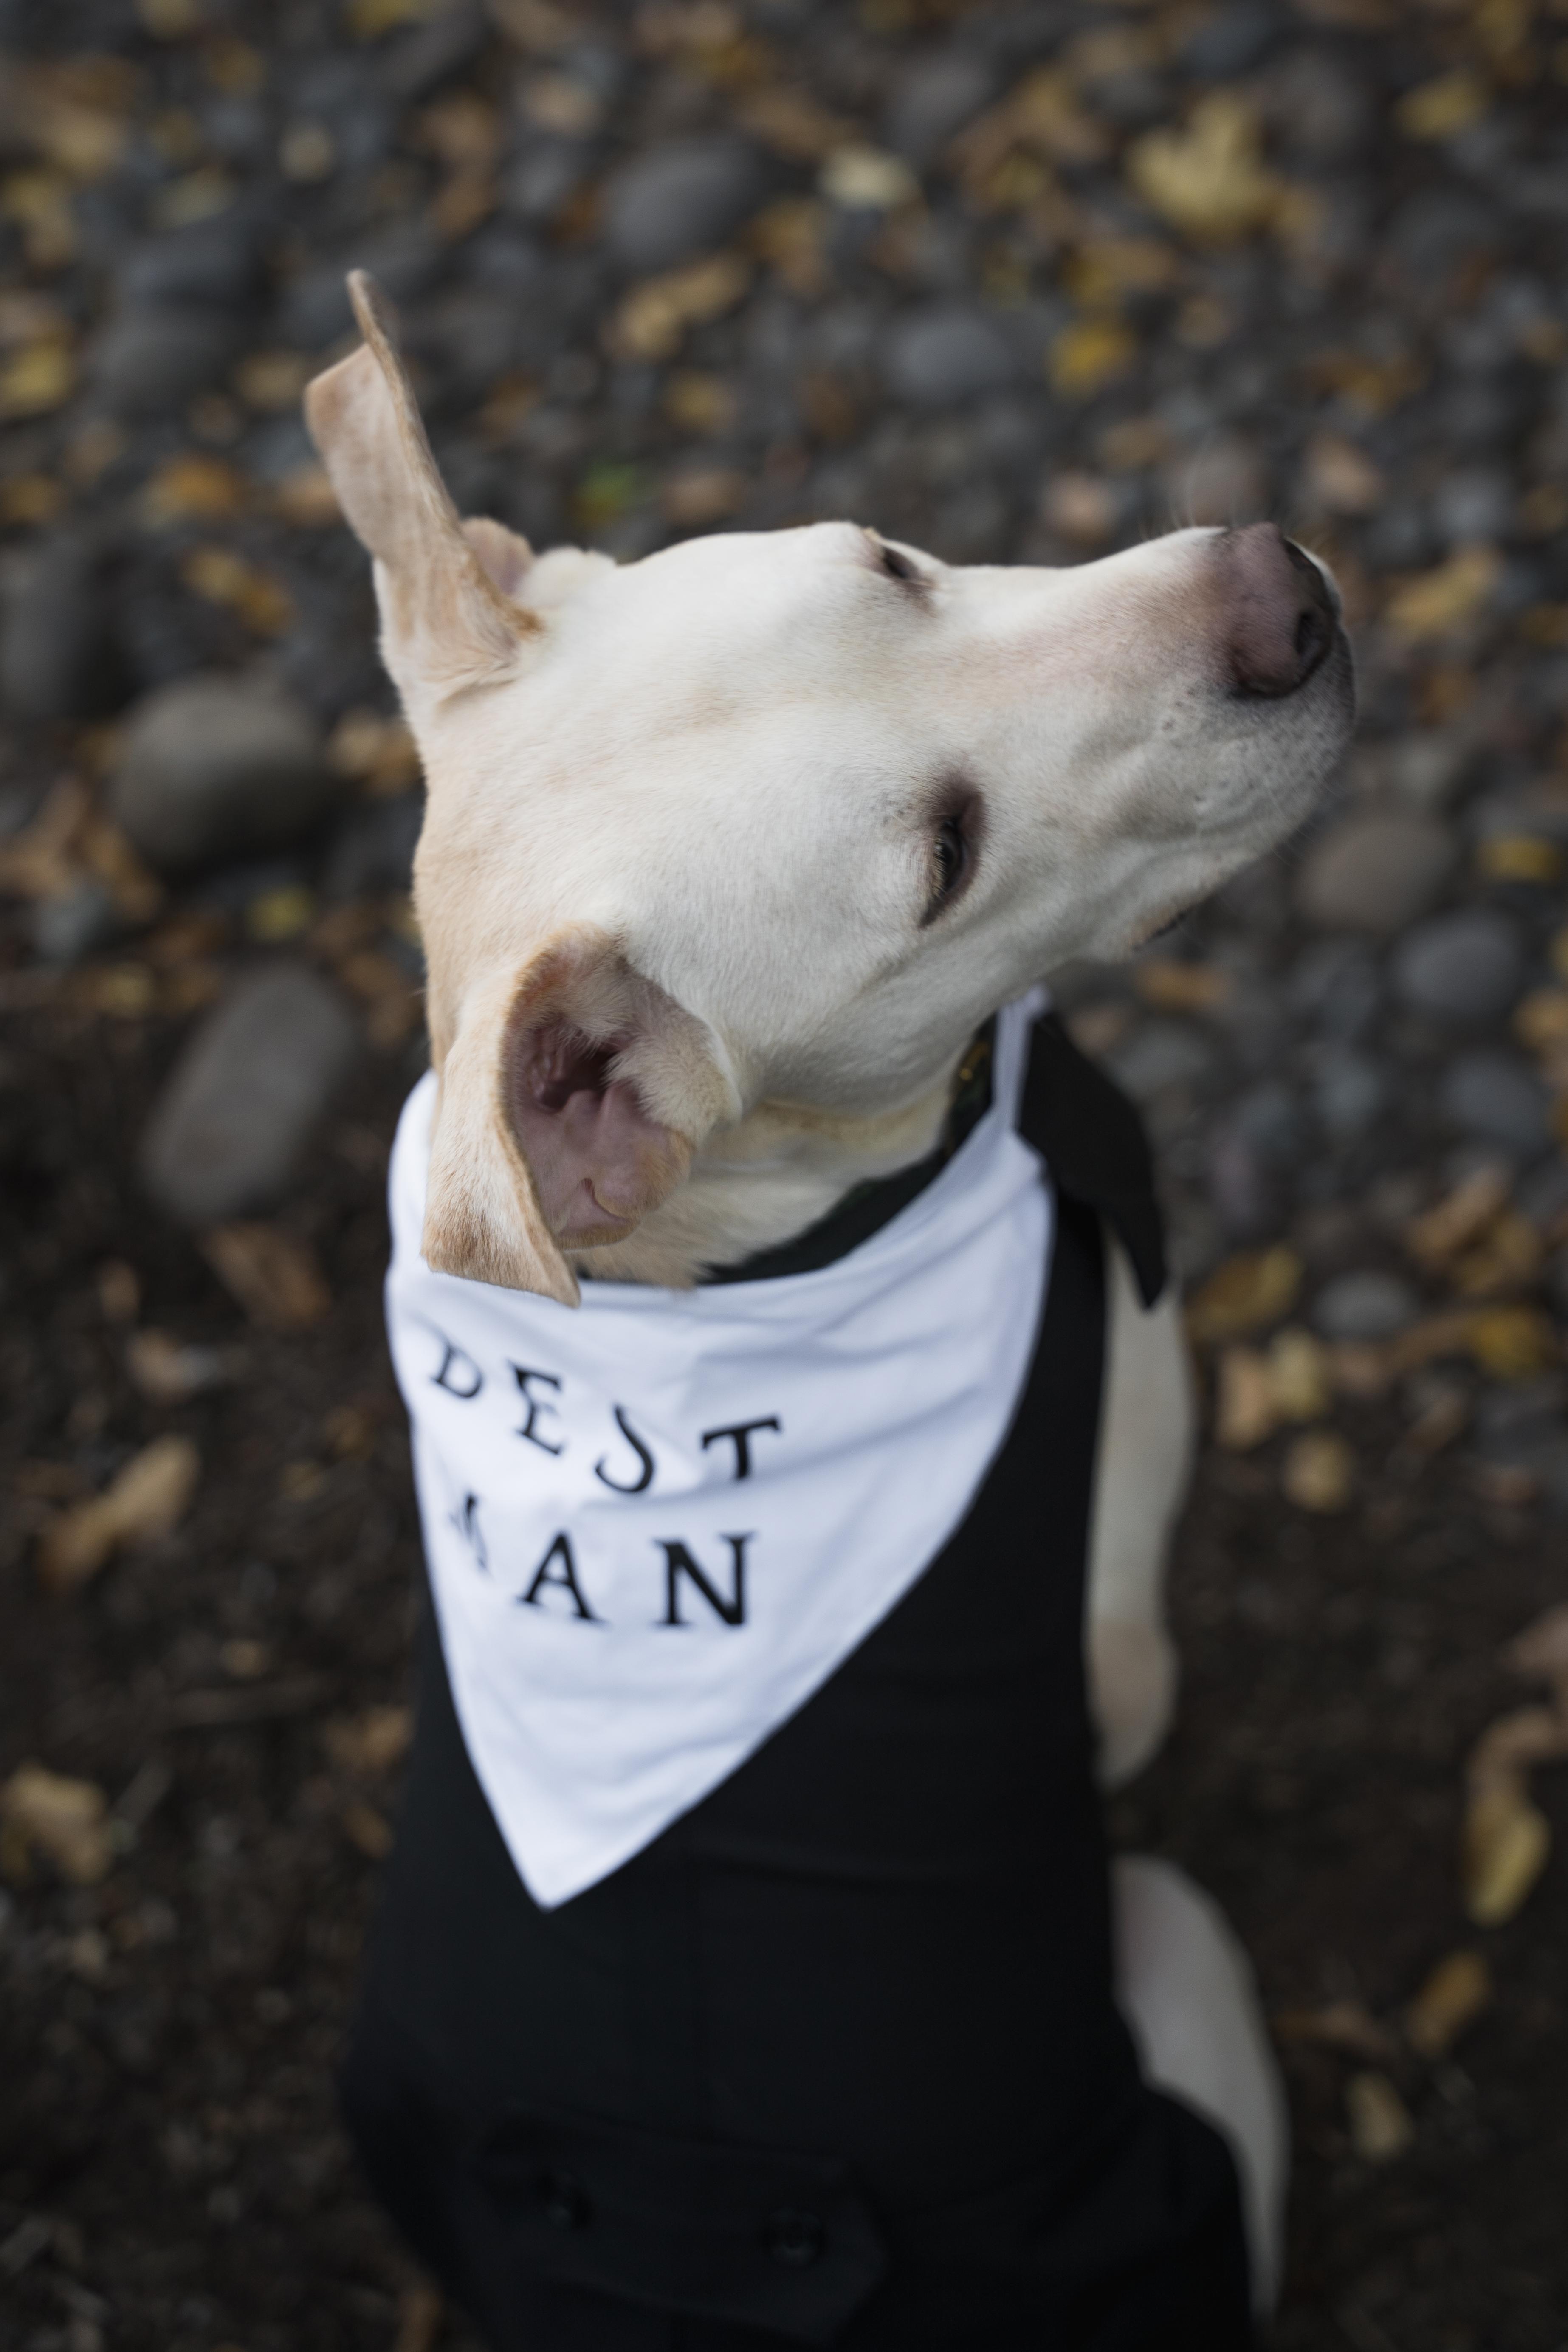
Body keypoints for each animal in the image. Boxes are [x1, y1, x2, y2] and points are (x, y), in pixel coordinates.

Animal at [305, 272, 1354, 2350]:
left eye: (889, 558)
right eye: (940, 863)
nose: (1282, 592)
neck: (740, 1253)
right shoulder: (1118, 1582)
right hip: (1181, 1961)